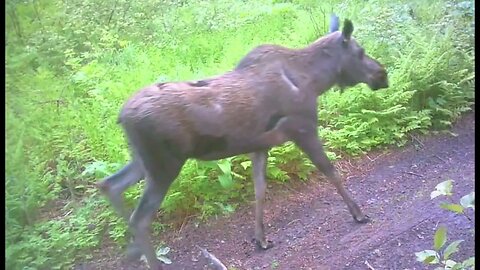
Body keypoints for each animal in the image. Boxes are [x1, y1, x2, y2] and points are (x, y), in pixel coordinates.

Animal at [98, 15, 390, 270]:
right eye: (360, 51)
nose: (382, 74)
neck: (316, 81)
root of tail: (121, 117)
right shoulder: (304, 129)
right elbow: (332, 172)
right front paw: (359, 213)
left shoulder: (259, 146)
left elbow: (259, 190)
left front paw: (261, 239)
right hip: (164, 164)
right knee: (139, 218)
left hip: (142, 160)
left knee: (110, 185)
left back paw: (133, 252)